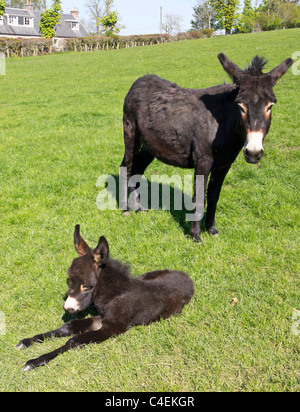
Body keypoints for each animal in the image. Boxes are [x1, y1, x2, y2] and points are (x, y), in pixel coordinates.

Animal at [15, 225, 195, 370]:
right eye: (70, 280)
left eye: (86, 286)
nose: (68, 308)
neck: (115, 295)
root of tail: (187, 277)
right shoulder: (100, 317)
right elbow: (68, 327)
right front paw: (28, 341)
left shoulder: (112, 327)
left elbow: (74, 340)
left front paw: (35, 361)